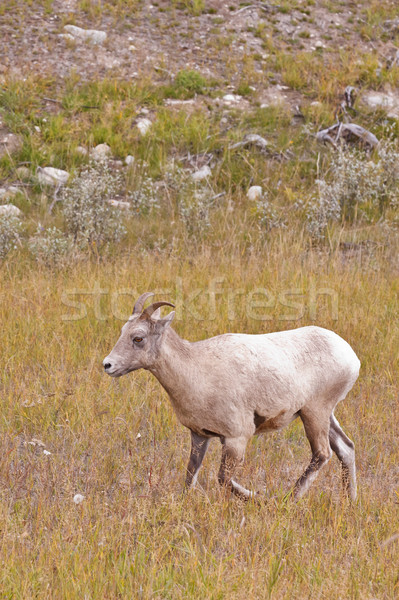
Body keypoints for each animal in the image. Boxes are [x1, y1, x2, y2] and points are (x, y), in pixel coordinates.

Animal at [103, 292, 360, 500]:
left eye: (138, 338)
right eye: (123, 332)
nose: (108, 365)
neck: (197, 371)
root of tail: (350, 356)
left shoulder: (236, 439)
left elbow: (224, 480)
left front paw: (259, 498)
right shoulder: (199, 436)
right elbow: (190, 477)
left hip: (314, 413)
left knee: (322, 454)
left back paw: (288, 500)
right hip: (324, 415)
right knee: (345, 449)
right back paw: (350, 501)